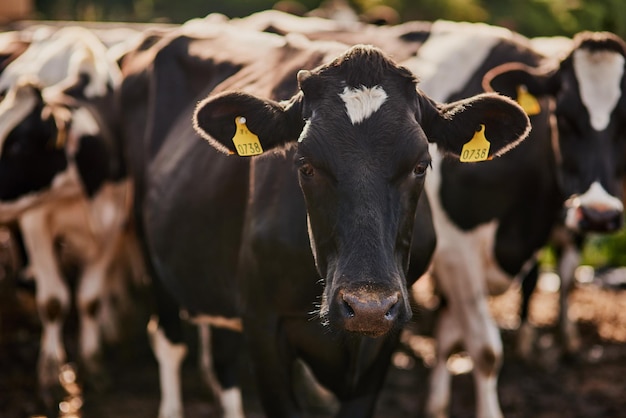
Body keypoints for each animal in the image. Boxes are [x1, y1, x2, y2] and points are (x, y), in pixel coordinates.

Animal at [118, 18, 528, 418]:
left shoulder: (387, 335)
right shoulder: (262, 324)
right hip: (150, 250)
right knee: (170, 342)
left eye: (421, 165)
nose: (367, 307)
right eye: (305, 165)